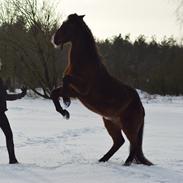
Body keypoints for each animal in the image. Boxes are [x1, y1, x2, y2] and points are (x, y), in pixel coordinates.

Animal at [50, 13, 153, 166]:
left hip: (128, 126)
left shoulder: (83, 89)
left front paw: (66, 102)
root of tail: (141, 107)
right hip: (111, 123)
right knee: (120, 142)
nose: (54, 40)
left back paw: (126, 163)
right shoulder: (76, 92)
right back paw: (102, 160)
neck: (84, 64)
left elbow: (65, 79)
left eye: (67, 25)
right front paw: (65, 112)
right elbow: (54, 93)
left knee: (133, 144)